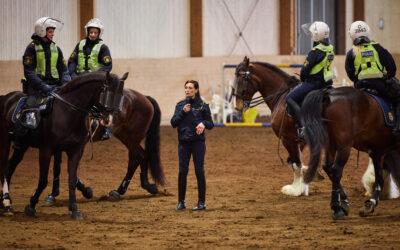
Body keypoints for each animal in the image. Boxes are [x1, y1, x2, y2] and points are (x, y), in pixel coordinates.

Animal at [0, 71, 125, 219]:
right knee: (4, 169)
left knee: (9, 167)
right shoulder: (46, 150)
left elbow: (72, 179)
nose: (109, 121)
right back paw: (6, 204)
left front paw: (74, 209)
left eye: (120, 96)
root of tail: (5, 98)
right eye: (107, 93)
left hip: (22, 146)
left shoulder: (75, 151)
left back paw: (6, 202)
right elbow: (43, 180)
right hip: (5, 141)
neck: (67, 112)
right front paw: (31, 205)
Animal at [302, 85, 400, 220]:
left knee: (328, 167)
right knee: (336, 170)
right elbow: (380, 178)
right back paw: (339, 206)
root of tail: (328, 94)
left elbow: (380, 177)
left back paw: (340, 205)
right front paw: (371, 204)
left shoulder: (377, 151)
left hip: (331, 145)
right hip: (344, 146)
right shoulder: (379, 151)